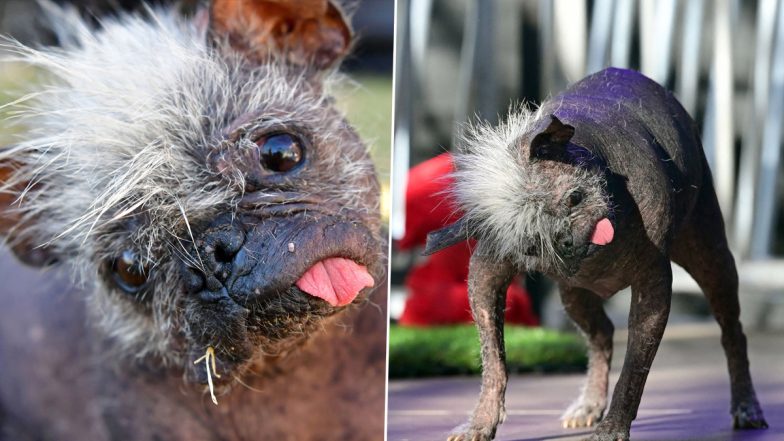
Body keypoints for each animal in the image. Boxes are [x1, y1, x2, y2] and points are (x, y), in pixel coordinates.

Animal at [426, 67, 768, 438]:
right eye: (533, 243)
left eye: (573, 198)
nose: (567, 240)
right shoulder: (486, 274)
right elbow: (492, 359)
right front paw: (482, 421)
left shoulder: (653, 285)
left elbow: (634, 369)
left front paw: (614, 426)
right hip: (573, 296)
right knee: (602, 333)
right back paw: (589, 403)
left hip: (711, 259)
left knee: (732, 331)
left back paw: (746, 405)